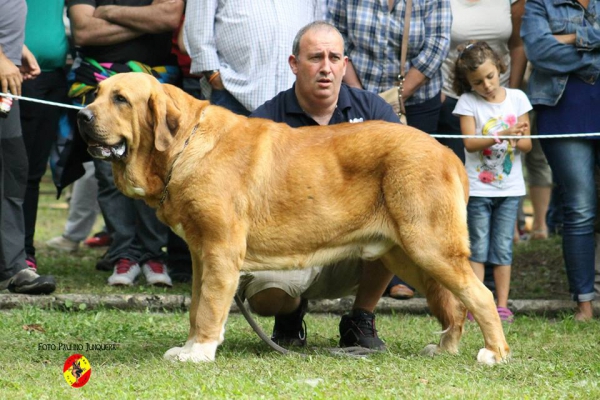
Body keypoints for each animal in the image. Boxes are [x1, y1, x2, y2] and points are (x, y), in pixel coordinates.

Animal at [77, 72, 508, 366]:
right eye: (95, 95)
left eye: (121, 99)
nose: (81, 116)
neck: (183, 145)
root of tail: (446, 151)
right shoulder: (202, 255)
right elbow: (197, 305)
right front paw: (189, 347)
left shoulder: (219, 252)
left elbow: (209, 307)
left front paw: (199, 352)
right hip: (407, 255)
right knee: (455, 305)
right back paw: (447, 348)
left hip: (429, 247)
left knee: (480, 295)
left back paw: (495, 354)